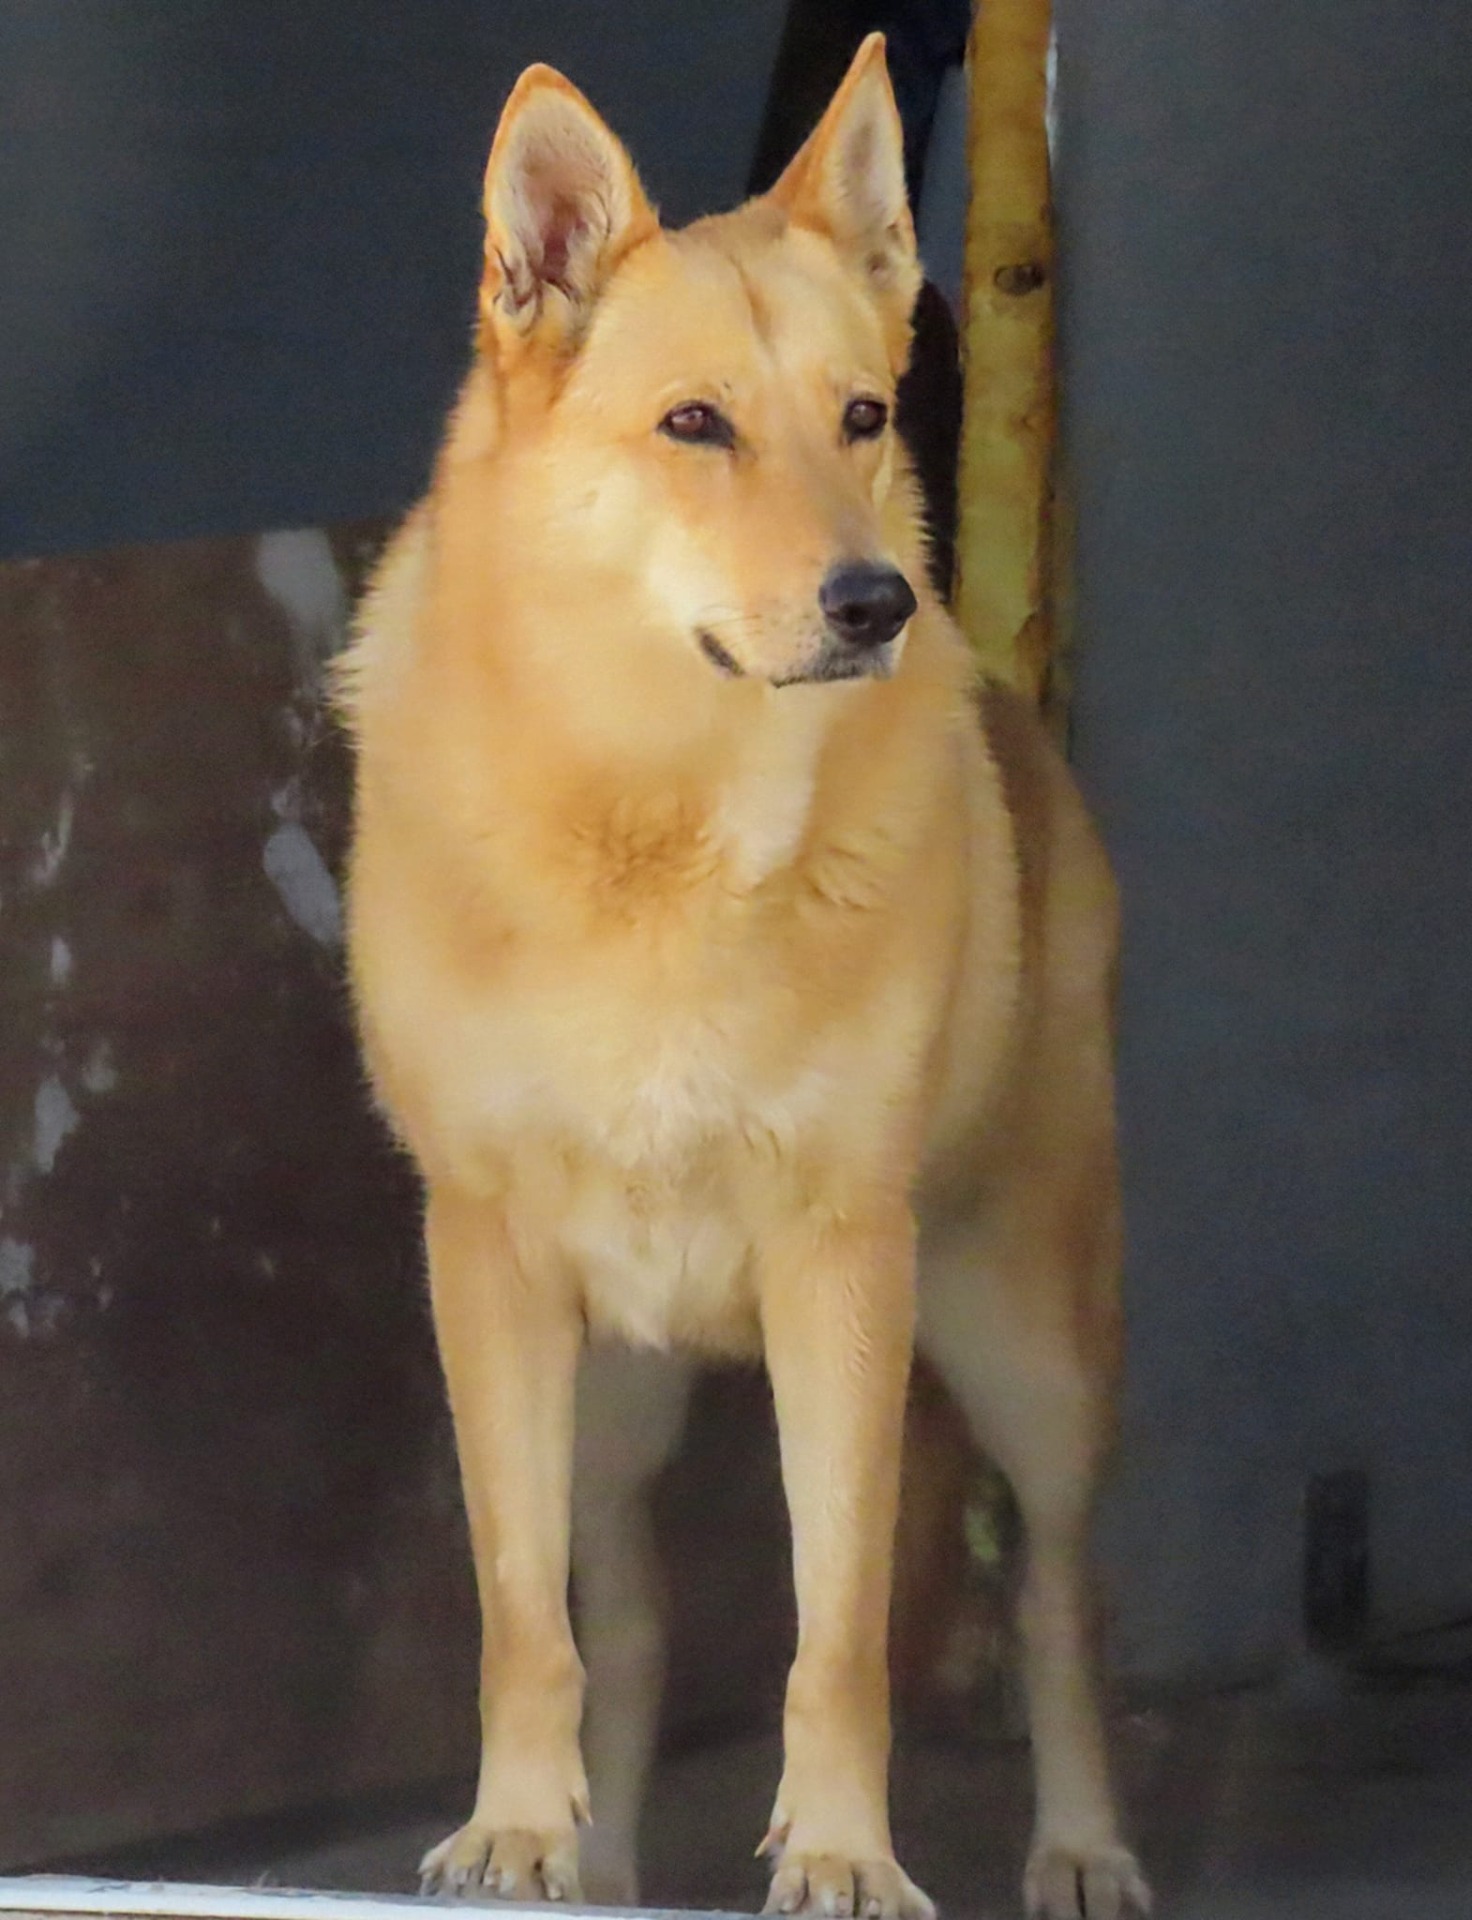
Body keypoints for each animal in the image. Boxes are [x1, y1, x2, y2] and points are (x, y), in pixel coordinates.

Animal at [337, 35, 1149, 1920]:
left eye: (863, 419)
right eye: (692, 424)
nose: (877, 604)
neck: (664, 825)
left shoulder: (843, 1265)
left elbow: (834, 1629)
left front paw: (845, 1851)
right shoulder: (488, 1262)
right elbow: (524, 1615)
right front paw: (518, 1829)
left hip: (1025, 1345)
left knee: (1059, 1601)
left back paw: (1080, 1843)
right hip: (616, 1401)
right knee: (623, 1625)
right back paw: (604, 1854)